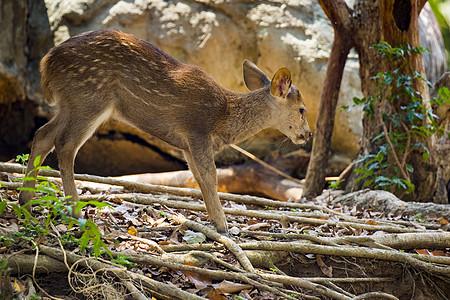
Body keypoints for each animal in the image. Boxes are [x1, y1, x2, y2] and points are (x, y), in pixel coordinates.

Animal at [19, 29, 312, 232]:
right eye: (302, 109)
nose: (307, 134)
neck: (224, 118)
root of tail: (46, 64)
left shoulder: (186, 144)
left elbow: (198, 177)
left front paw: (213, 220)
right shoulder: (197, 130)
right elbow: (211, 175)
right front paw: (223, 226)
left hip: (71, 102)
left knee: (43, 135)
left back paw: (26, 201)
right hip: (90, 97)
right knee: (66, 145)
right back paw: (74, 211)